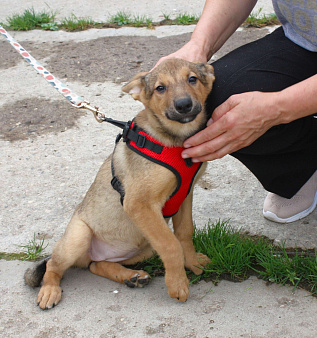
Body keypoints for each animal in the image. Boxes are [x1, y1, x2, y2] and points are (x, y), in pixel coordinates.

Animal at [24, 58, 215, 308]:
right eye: (160, 88)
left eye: (192, 79)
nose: (183, 105)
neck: (174, 141)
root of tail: (91, 254)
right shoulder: (139, 203)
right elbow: (171, 244)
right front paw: (178, 284)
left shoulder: (185, 194)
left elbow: (184, 234)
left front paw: (193, 263)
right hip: (77, 238)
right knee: (53, 267)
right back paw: (49, 290)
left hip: (144, 247)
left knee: (96, 265)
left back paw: (131, 276)